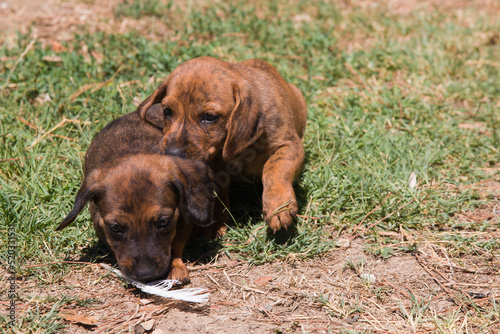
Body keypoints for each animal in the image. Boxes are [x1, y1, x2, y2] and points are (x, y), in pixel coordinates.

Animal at [139, 57, 306, 234]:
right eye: (167, 111)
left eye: (209, 116)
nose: (172, 153)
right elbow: (216, 188)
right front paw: (216, 220)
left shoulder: (290, 145)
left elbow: (275, 167)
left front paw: (278, 206)